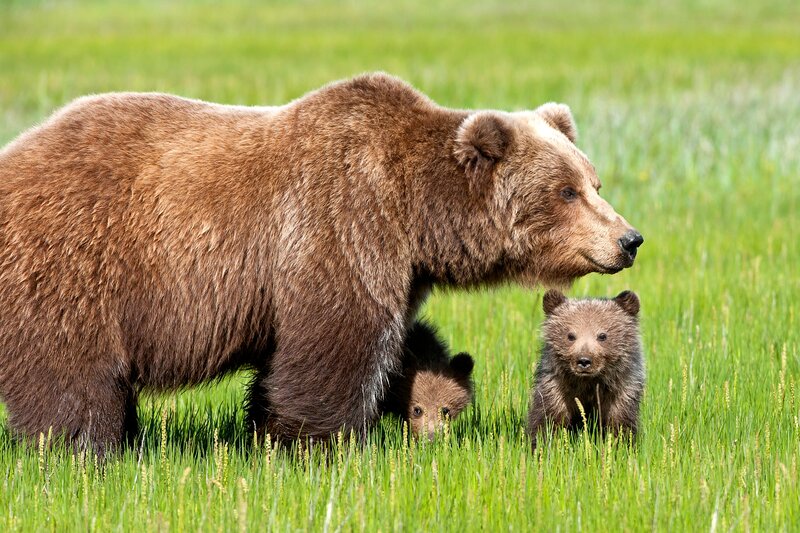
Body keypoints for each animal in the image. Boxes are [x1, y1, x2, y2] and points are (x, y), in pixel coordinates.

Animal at [527, 290, 644, 448]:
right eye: (570, 335)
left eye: (602, 335)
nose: (584, 361)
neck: (588, 383)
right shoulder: (556, 388)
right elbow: (547, 420)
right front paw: (542, 445)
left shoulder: (622, 390)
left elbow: (620, 423)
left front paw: (619, 445)